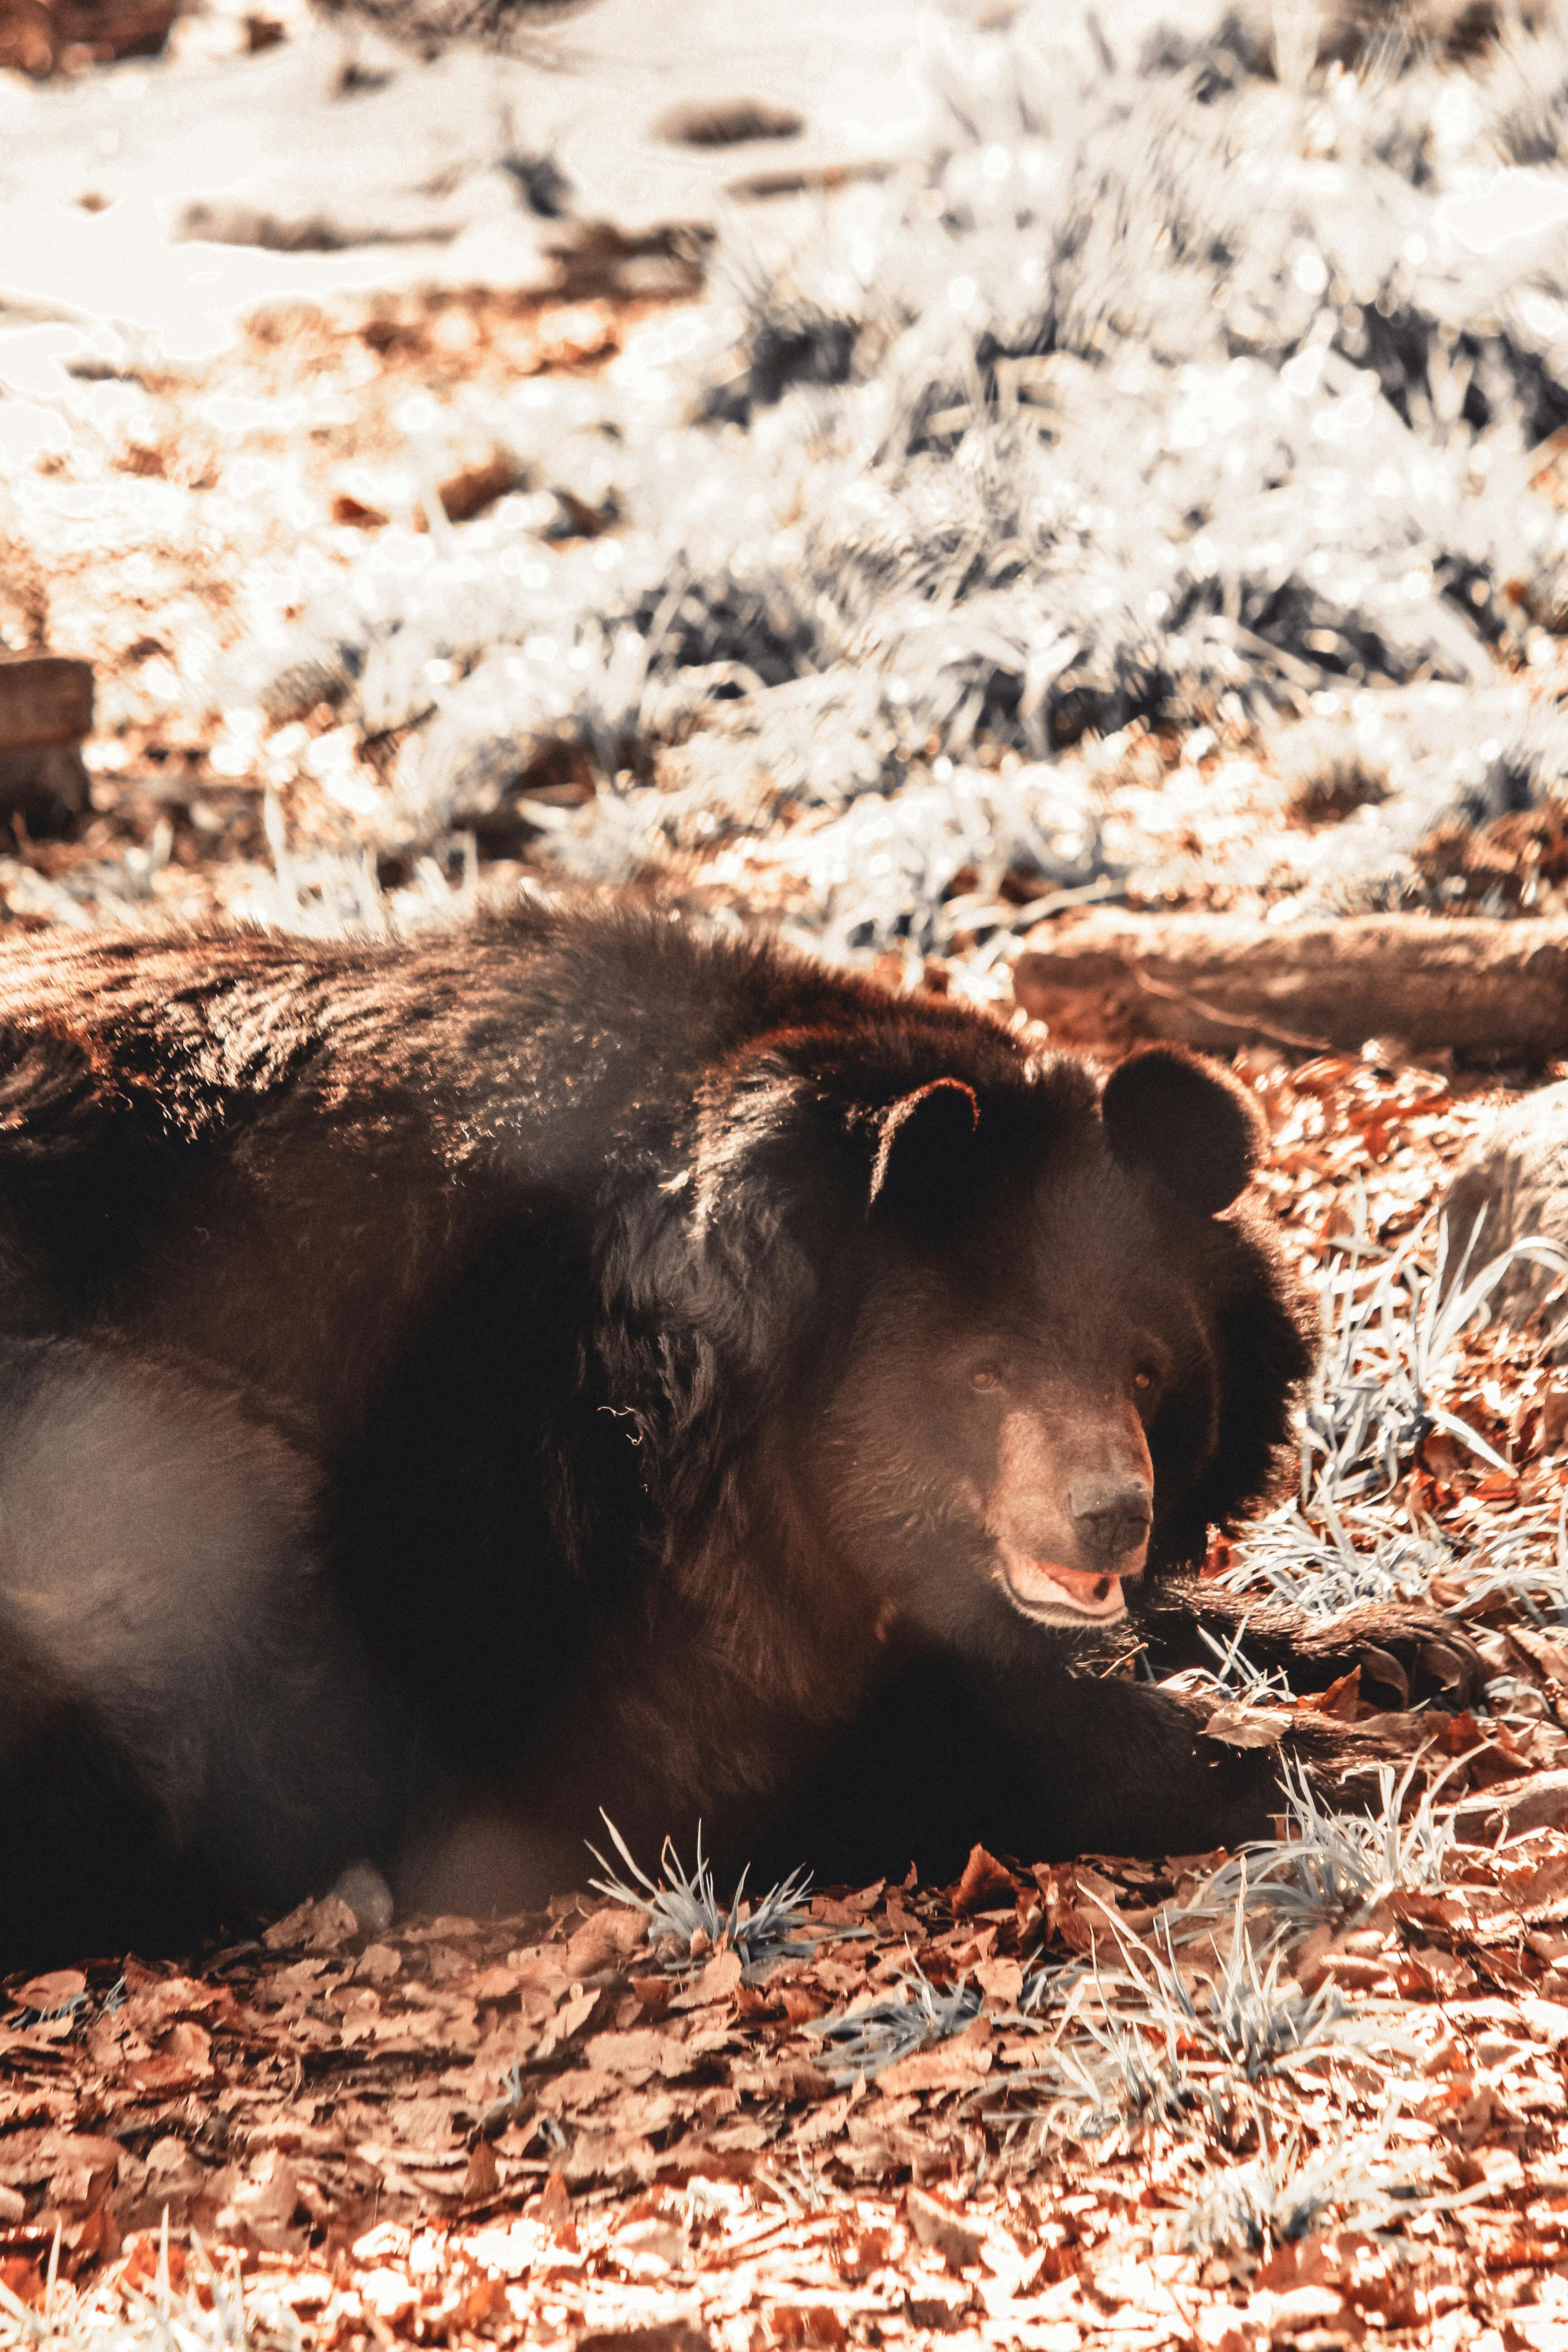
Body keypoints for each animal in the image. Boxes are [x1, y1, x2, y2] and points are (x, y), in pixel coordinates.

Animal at [0, 898, 1476, 1966]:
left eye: (1149, 1367)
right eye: (986, 1373)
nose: (1111, 1513)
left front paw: (1407, 1649)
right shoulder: (558, 1509)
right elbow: (800, 1738)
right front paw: (1345, 1762)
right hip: (129, 1453)